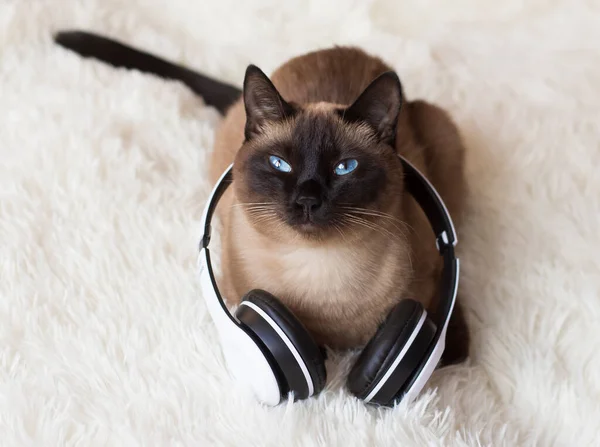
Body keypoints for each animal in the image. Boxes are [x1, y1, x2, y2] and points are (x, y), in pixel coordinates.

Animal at [55, 32, 468, 368]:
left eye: (344, 167)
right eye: (280, 163)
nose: (307, 200)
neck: (318, 274)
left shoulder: (434, 271)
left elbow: (449, 306)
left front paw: (448, 351)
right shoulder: (236, 292)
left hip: (441, 130)